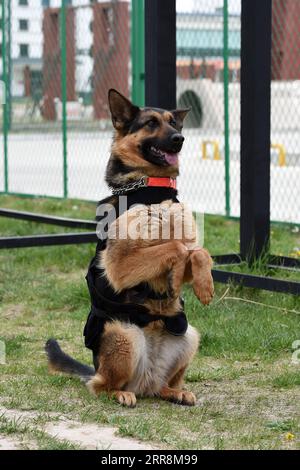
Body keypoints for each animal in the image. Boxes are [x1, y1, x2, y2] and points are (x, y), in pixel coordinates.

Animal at [45, 90, 213, 406]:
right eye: (150, 123)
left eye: (174, 123)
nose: (179, 139)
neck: (151, 188)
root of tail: (145, 382)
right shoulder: (120, 267)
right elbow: (175, 246)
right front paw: (176, 276)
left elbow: (197, 251)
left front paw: (204, 285)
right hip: (125, 334)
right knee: (100, 386)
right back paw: (120, 393)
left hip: (190, 335)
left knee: (163, 385)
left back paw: (175, 391)